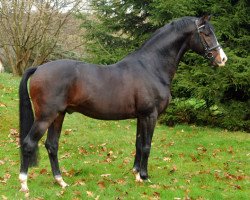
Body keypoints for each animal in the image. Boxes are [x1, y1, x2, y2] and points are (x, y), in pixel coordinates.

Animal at [19, 15, 227, 191]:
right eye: (206, 33)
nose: (222, 59)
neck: (151, 67)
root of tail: (39, 68)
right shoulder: (150, 115)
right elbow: (147, 145)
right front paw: (145, 176)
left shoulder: (141, 116)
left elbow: (138, 144)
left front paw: (135, 174)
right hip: (46, 116)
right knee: (29, 143)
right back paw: (24, 184)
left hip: (58, 115)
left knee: (52, 145)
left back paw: (61, 181)